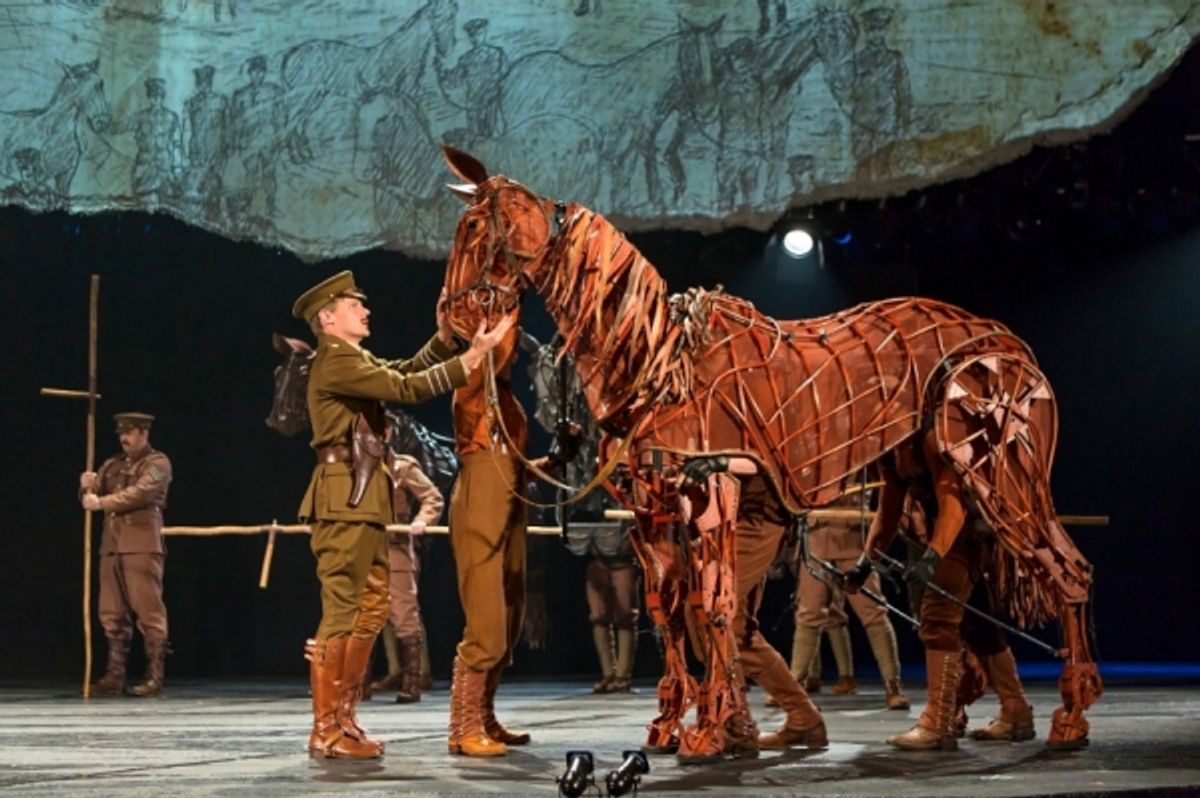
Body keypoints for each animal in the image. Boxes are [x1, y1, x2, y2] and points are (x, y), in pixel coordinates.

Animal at [437, 147, 1100, 758]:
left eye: (481, 227)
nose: (453, 319)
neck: (657, 364)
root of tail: (1002, 337)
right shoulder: (651, 513)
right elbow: (671, 613)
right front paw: (678, 726)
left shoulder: (712, 492)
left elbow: (714, 609)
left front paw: (711, 731)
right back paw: (971, 719)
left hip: (1004, 474)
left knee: (1068, 571)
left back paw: (1069, 717)